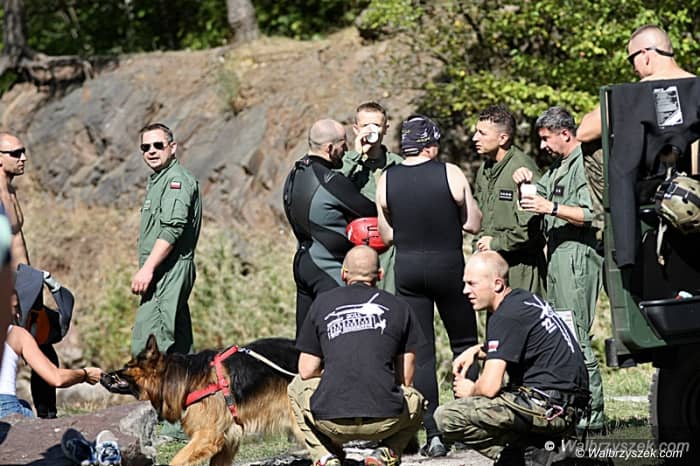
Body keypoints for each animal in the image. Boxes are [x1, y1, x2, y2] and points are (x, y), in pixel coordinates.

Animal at [102, 334, 300, 466]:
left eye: (127, 367)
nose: (103, 375)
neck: (186, 379)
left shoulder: (207, 436)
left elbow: (177, 460)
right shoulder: (227, 441)